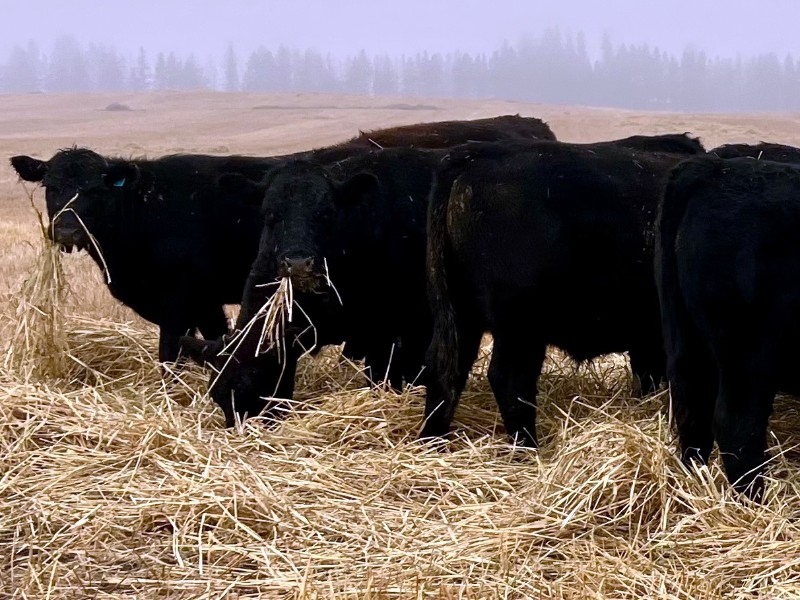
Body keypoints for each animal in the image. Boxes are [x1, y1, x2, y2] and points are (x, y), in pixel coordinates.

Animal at [10, 114, 555, 365]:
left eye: (97, 190)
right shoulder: (206, 300)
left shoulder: (178, 299)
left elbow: (169, 354)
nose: (66, 229)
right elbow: (213, 340)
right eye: (51, 187)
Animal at [421, 140, 695, 448]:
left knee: (446, 370)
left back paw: (433, 443)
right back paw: (528, 447)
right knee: (510, 379)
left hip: (463, 316)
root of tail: (479, 152)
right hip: (519, 326)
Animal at [656, 155, 800, 500]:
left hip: (687, 343)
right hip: (747, 354)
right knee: (737, 424)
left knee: (692, 410)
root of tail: (713, 168)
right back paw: (753, 501)